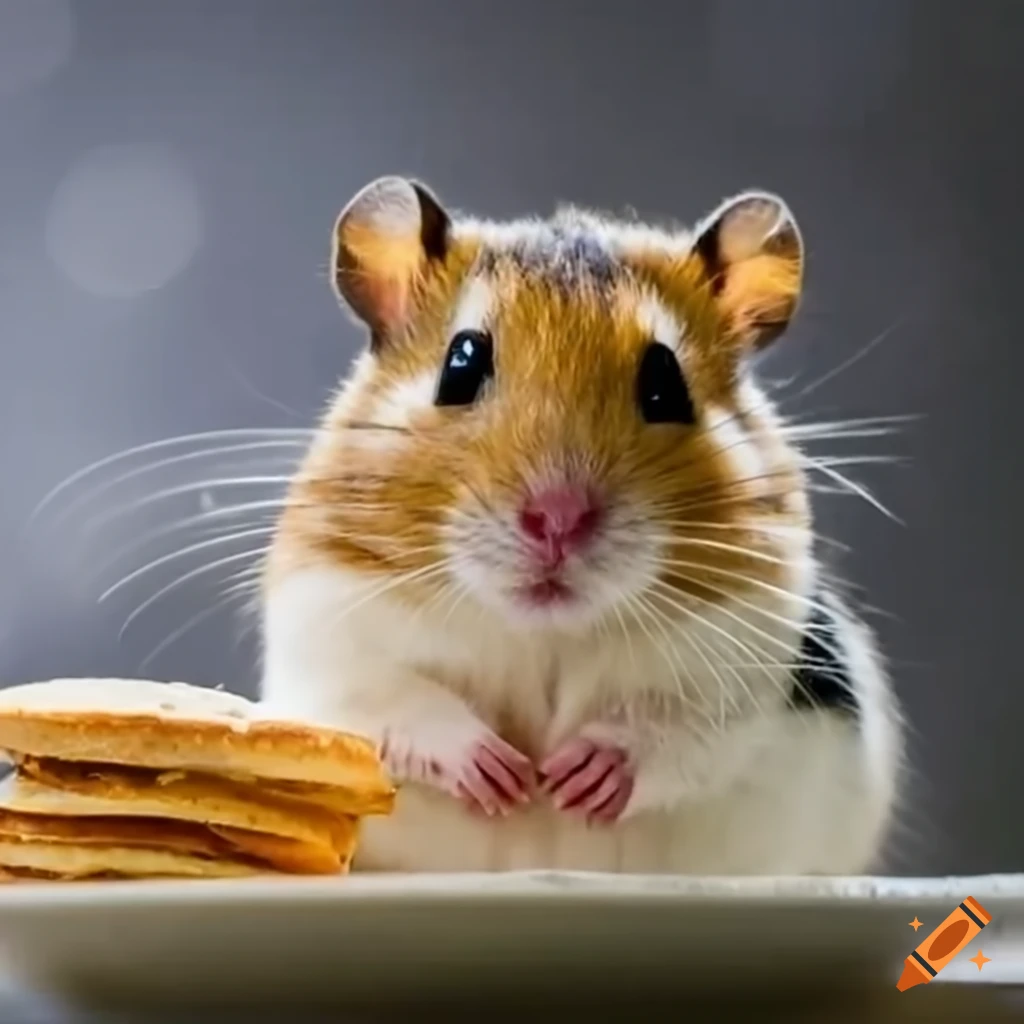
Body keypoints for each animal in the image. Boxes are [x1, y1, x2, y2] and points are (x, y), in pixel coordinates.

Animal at [259, 176, 903, 874]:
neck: (546, 632)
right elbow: (399, 701)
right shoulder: (328, 637)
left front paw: (574, 779)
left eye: (665, 383)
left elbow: (674, 726)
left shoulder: (743, 662)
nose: (557, 519)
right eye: (461, 365)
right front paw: (503, 776)